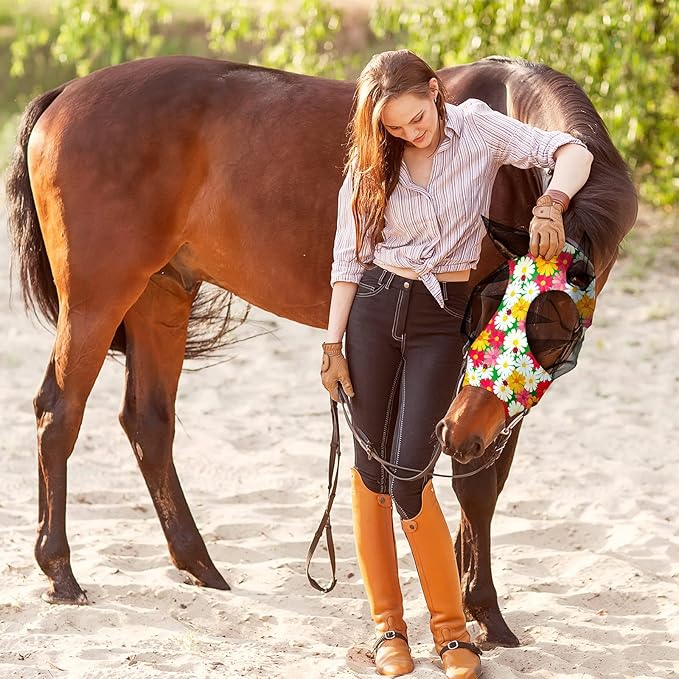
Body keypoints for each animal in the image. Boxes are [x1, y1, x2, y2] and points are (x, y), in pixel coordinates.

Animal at [5, 54, 637, 648]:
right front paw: (485, 610)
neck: (512, 167)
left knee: (149, 422)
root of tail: (65, 94)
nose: (458, 433)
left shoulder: (499, 400)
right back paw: (60, 571)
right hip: (97, 302)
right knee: (58, 414)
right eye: (483, 311)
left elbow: (488, 479)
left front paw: (472, 596)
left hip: (162, 293)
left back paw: (199, 565)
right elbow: (474, 484)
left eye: (552, 330)